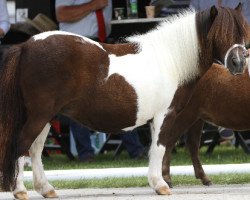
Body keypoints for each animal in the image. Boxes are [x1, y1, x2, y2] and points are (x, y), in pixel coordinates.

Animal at [0, 5, 247, 197]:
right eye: (220, 32)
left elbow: (157, 149)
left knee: (35, 149)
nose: (238, 64)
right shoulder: (165, 115)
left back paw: (46, 189)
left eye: (243, 32)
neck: (171, 59)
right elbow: (160, 147)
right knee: (22, 146)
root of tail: (26, 46)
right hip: (39, 115)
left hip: (47, 116)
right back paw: (20, 191)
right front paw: (161, 185)